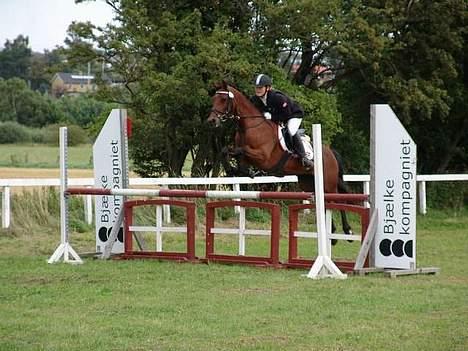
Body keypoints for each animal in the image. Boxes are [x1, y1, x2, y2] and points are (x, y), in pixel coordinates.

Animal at [207, 80, 352, 239]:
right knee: (325, 202)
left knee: (337, 200)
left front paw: (236, 170)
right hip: (308, 183)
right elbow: (228, 153)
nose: (211, 121)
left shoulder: (262, 156)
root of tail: (330, 151)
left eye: (223, 99)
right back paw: (332, 233)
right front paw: (232, 170)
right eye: (213, 99)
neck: (250, 127)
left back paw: (347, 230)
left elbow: (240, 150)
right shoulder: (245, 158)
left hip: (328, 183)